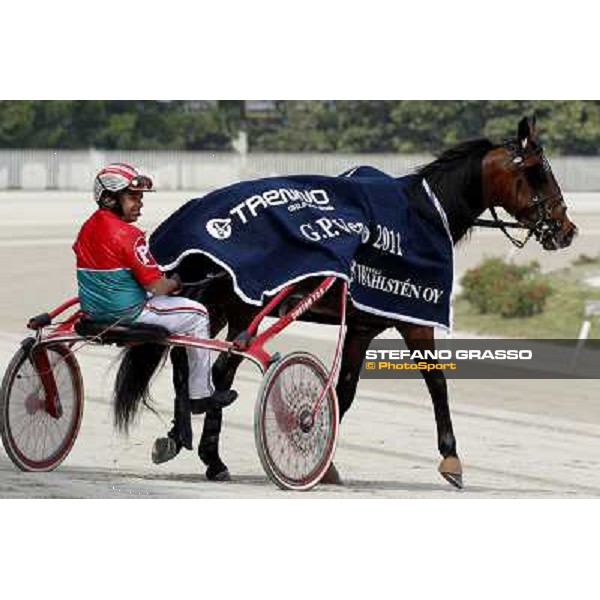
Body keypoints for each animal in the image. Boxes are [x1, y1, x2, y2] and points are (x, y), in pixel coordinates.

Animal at [112, 116, 576, 488]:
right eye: (538, 172)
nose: (566, 229)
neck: (424, 215)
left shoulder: (363, 326)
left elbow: (346, 391)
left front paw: (327, 460)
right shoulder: (413, 318)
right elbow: (437, 382)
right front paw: (451, 459)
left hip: (227, 304)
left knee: (197, 362)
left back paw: (196, 447)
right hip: (245, 305)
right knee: (213, 365)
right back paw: (201, 447)